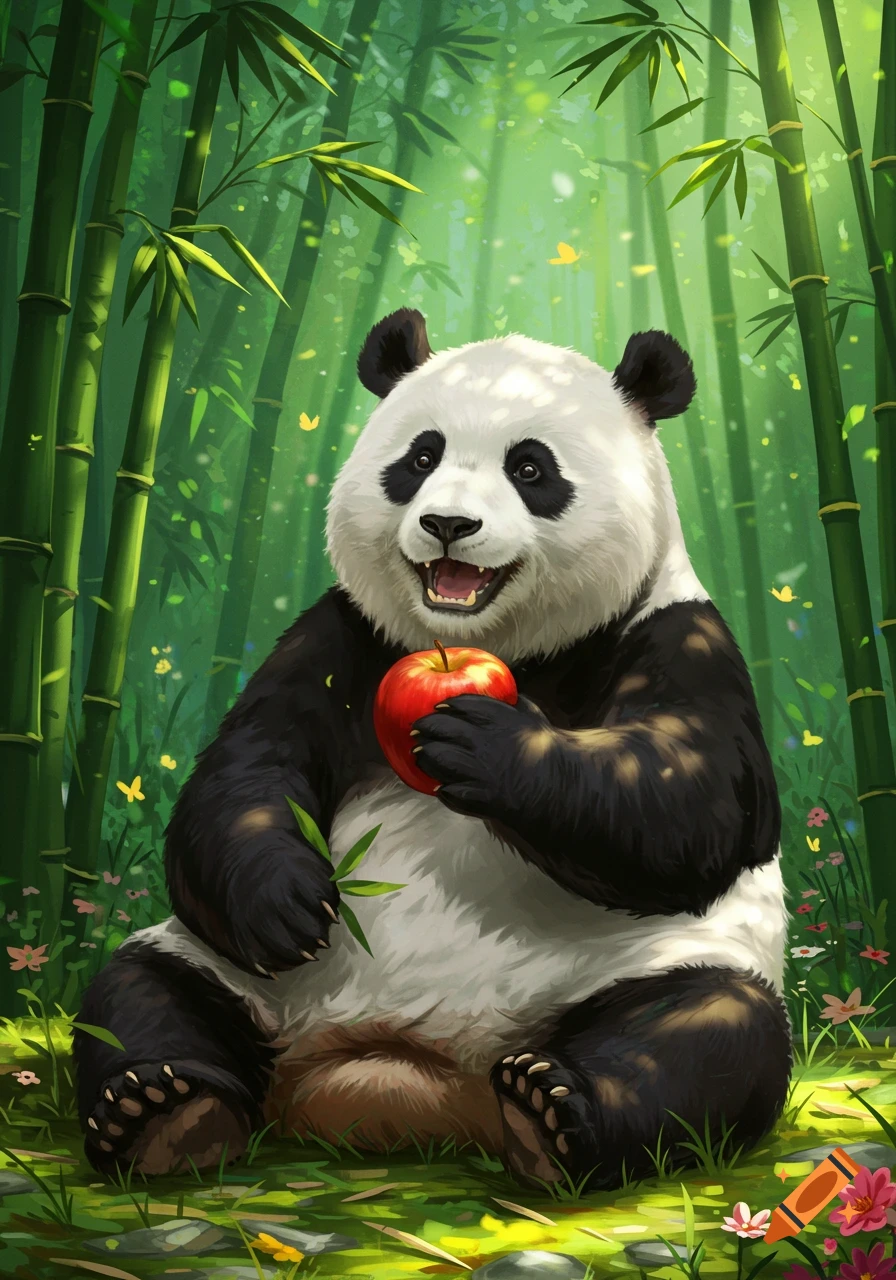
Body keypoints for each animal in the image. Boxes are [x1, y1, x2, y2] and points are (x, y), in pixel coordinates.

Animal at [74, 308, 791, 1190]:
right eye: (420, 458)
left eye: (530, 467)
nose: (449, 524)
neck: (501, 647)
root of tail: (406, 1082)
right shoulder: (344, 635)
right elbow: (249, 769)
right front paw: (287, 905)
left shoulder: (677, 634)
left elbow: (698, 803)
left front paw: (485, 745)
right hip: (240, 981)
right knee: (141, 995)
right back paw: (165, 1112)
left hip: (646, 965)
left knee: (709, 1029)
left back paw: (552, 1114)